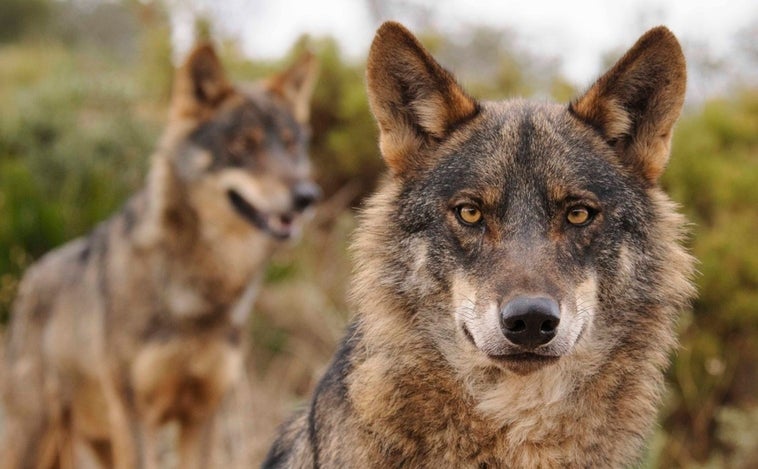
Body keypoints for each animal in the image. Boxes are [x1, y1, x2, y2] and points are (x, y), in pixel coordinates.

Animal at [0, 42, 320, 466]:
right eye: (242, 145)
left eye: (290, 144)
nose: (307, 197)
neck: (200, 293)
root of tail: (29, 277)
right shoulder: (137, 416)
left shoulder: (202, 415)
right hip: (39, 437)